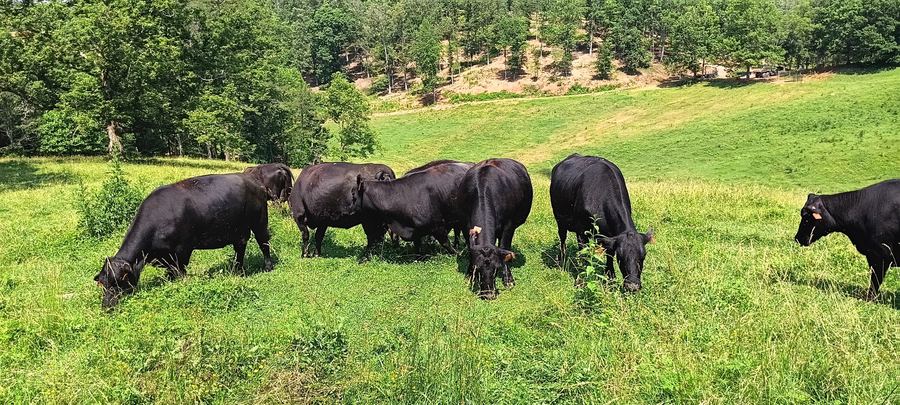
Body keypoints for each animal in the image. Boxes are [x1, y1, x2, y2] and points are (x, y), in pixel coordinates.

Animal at [94, 165, 289, 308]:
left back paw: (267, 266)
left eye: (119, 281)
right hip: (238, 230)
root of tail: (253, 180)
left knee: (263, 243)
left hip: (259, 222)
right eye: (103, 283)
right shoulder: (167, 257)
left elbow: (180, 272)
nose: (107, 306)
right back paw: (237, 271)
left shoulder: (183, 250)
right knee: (240, 248)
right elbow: (171, 272)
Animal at [460, 158, 533, 299]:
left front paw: (508, 279)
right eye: (477, 268)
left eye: (496, 268)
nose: (488, 294)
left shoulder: (509, 227)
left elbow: (504, 247)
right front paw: (468, 276)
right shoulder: (465, 226)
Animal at [550, 154, 654, 292]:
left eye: (643, 256)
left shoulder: (610, 237)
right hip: (559, 219)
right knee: (562, 238)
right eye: (620, 256)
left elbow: (609, 254)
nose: (632, 286)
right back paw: (562, 258)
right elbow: (584, 254)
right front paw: (582, 278)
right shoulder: (582, 232)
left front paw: (610, 277)